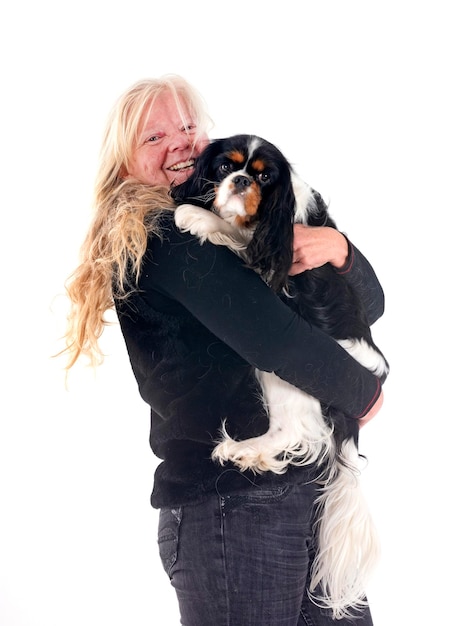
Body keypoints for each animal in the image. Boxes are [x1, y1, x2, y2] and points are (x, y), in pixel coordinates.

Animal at [170, 134, 386, 616]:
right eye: (225, 167)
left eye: (265, 176)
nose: (241, 180)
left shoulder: (273, 263)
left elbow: (233, 234)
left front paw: (193, 215)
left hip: (279, 372)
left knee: (298, 431)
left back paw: (241, 450)